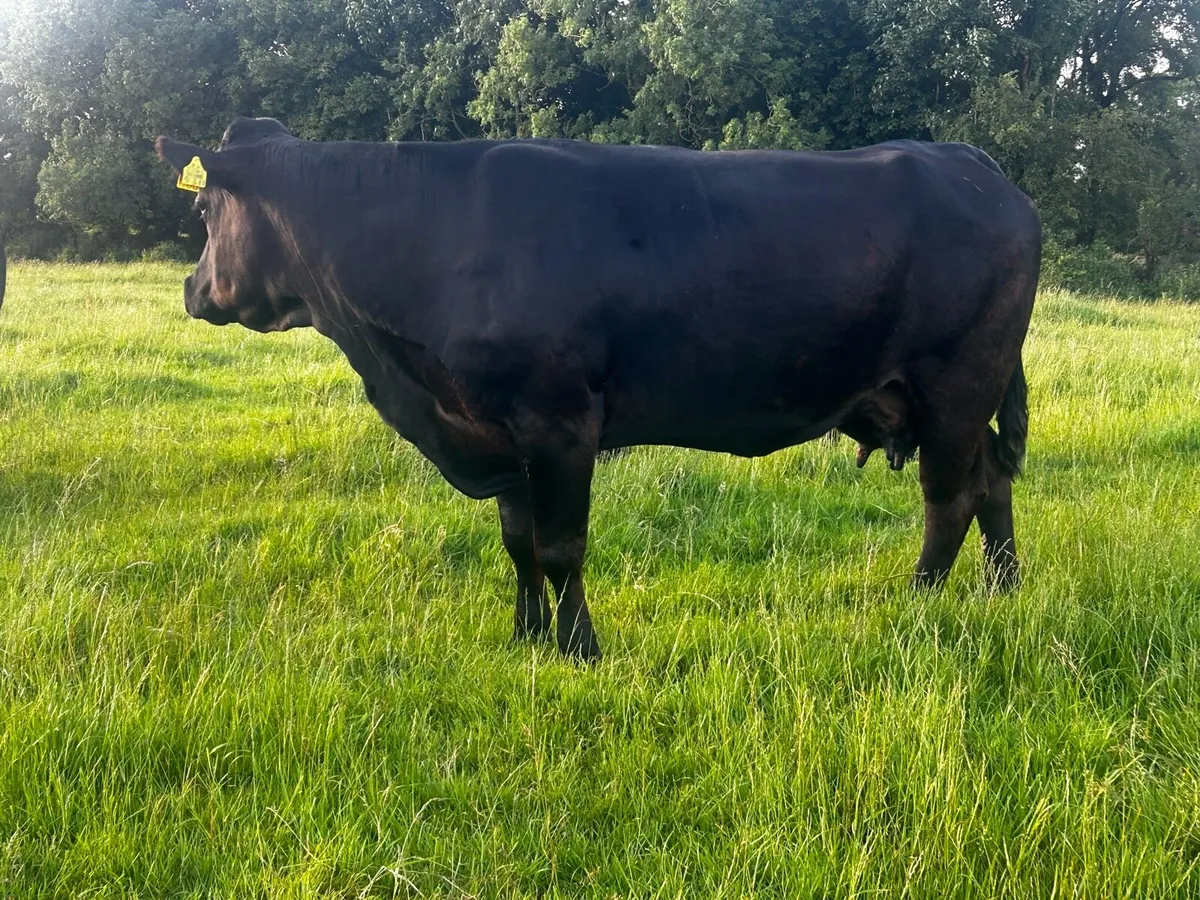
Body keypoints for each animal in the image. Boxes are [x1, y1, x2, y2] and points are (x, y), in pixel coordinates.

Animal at [156, 117, 1040, 662]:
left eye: (201, 212)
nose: (193, 291)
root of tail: (968, 161)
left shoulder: (559, 422)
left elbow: (559, 546)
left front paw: (579, 647)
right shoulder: (499, 432)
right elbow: (517, 544)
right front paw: (524, 638)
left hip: (958, 382)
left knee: (950, 498)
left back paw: (919, 601)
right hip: (940, 396)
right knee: (992, 481)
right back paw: (1003, 590)